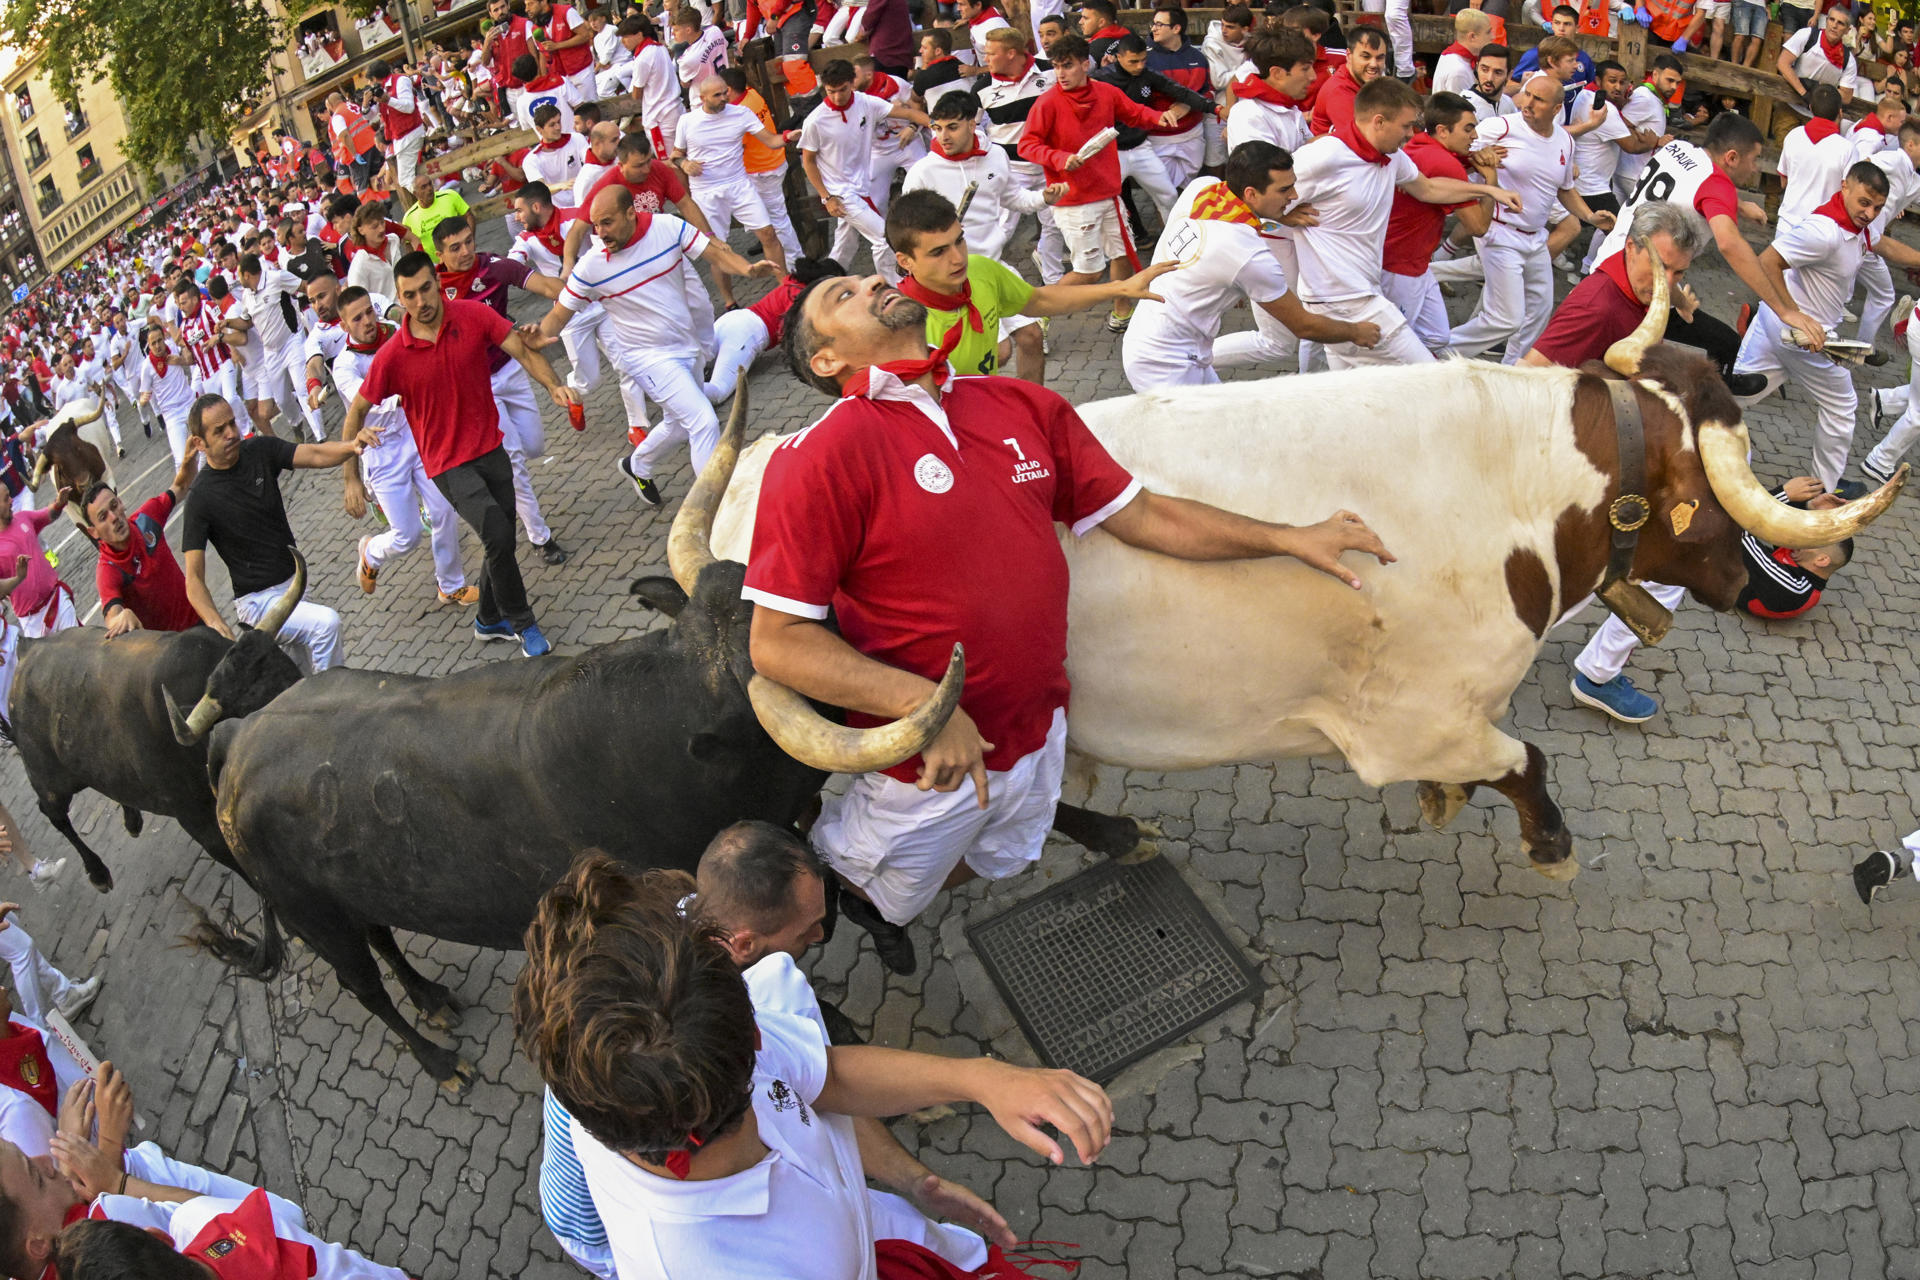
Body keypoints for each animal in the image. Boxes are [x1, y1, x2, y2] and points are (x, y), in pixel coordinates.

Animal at [698, 284, 1896, 875]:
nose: (1760, 580)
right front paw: (1546, 841)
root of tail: (775, 472)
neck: (1518, 484)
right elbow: (1527, 759)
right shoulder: (1416, 720)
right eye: (1724, 495)